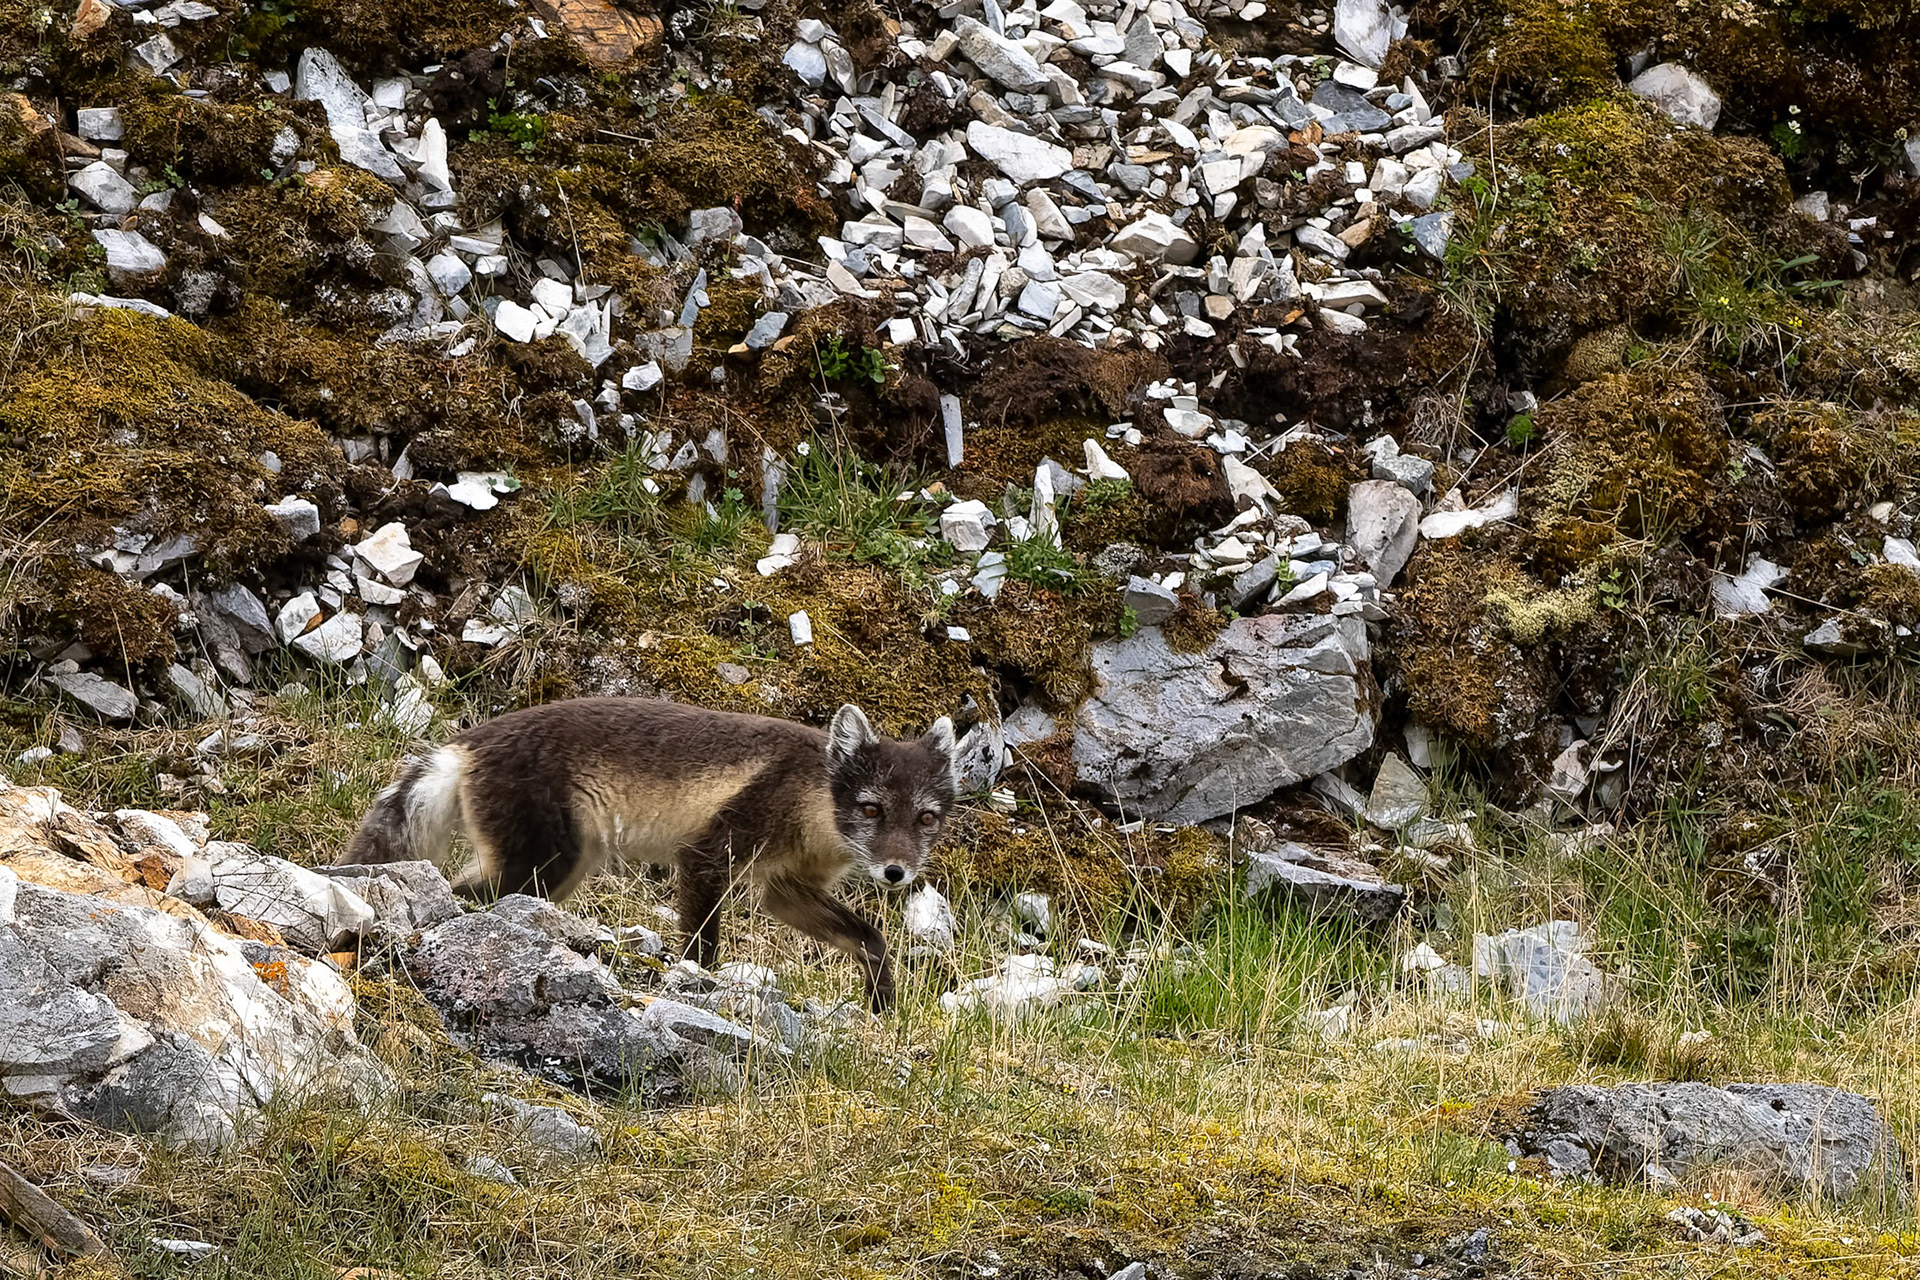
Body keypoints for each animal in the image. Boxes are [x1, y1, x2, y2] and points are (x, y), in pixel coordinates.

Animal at [341, 697, 960, 1011]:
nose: (896, 872)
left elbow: (870, 939)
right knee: (458, 895)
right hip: (539, 864)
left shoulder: (786, 889)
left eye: (926, 818)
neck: (813, 802)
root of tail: (466, 743)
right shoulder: (709, 853)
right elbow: (702, 946)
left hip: (559, 872)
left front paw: (882, 1004)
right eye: (872, 809)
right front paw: (696, 985)